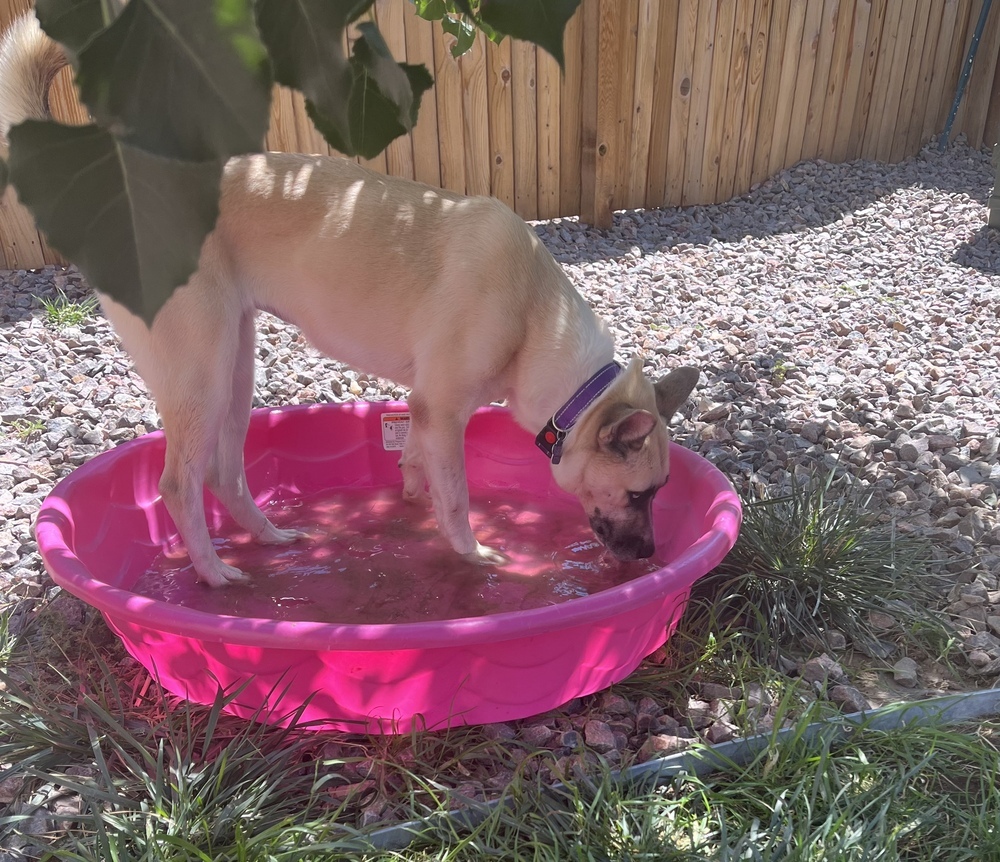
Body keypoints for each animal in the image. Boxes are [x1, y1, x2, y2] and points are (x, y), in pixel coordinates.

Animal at [3, 13, 700, 592]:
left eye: (660, 492)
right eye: (642, 494)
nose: (648, 555)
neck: (537, 321)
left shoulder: (427, 413)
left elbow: (418, 467)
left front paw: (412, 507)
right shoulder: (444, 412)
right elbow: (456, 497)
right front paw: (475, 555)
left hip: (235, 365)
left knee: (225, 474)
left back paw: (271, 539)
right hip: (201, 372)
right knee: (179, 484)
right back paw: (215, 573)